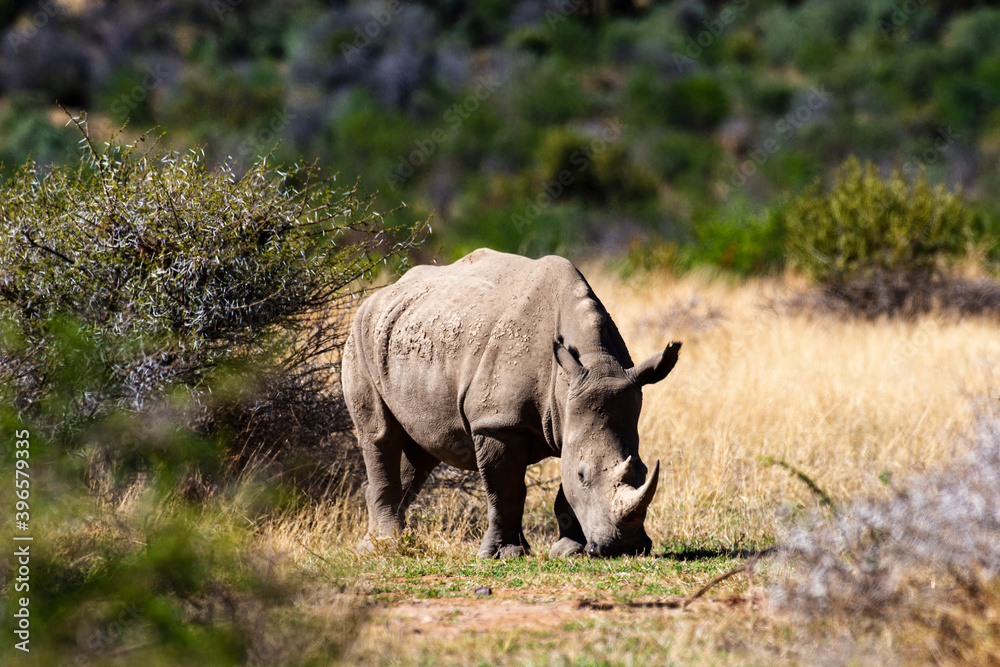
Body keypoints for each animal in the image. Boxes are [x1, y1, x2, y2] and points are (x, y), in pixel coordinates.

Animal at [342, 248, 681, 558]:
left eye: (643, 469)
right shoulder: (497, 422)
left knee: (421, 450)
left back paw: (377, 544)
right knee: (380, 436)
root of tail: (379, 296)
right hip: (359, 335)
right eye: (583, 475)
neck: (594, 364)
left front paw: (568, 551)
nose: (625, 547)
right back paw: (384, 546)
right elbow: (506, 491)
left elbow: (562, 488)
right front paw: (504, 554)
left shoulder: (570, 418)